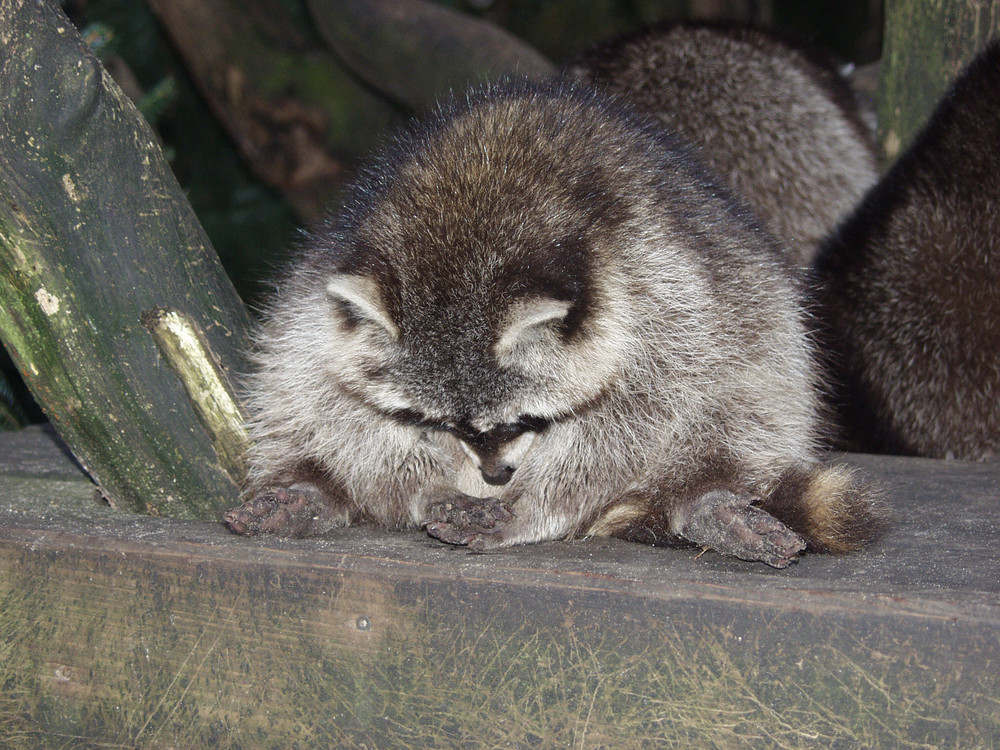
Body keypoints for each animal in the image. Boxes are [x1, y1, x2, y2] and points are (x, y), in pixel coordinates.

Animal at [225, 78, 884, 568]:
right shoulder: (323, 283)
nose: (496, 477)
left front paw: (532, 505)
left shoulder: (664, 288)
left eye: (526, 419)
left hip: (759, 326)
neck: (473, 207)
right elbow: (327, 392)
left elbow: (638, 420)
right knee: (294, 390)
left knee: (750, 390)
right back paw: (314, 485)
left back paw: (702, 497)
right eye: (436, 422)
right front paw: (423, 487)